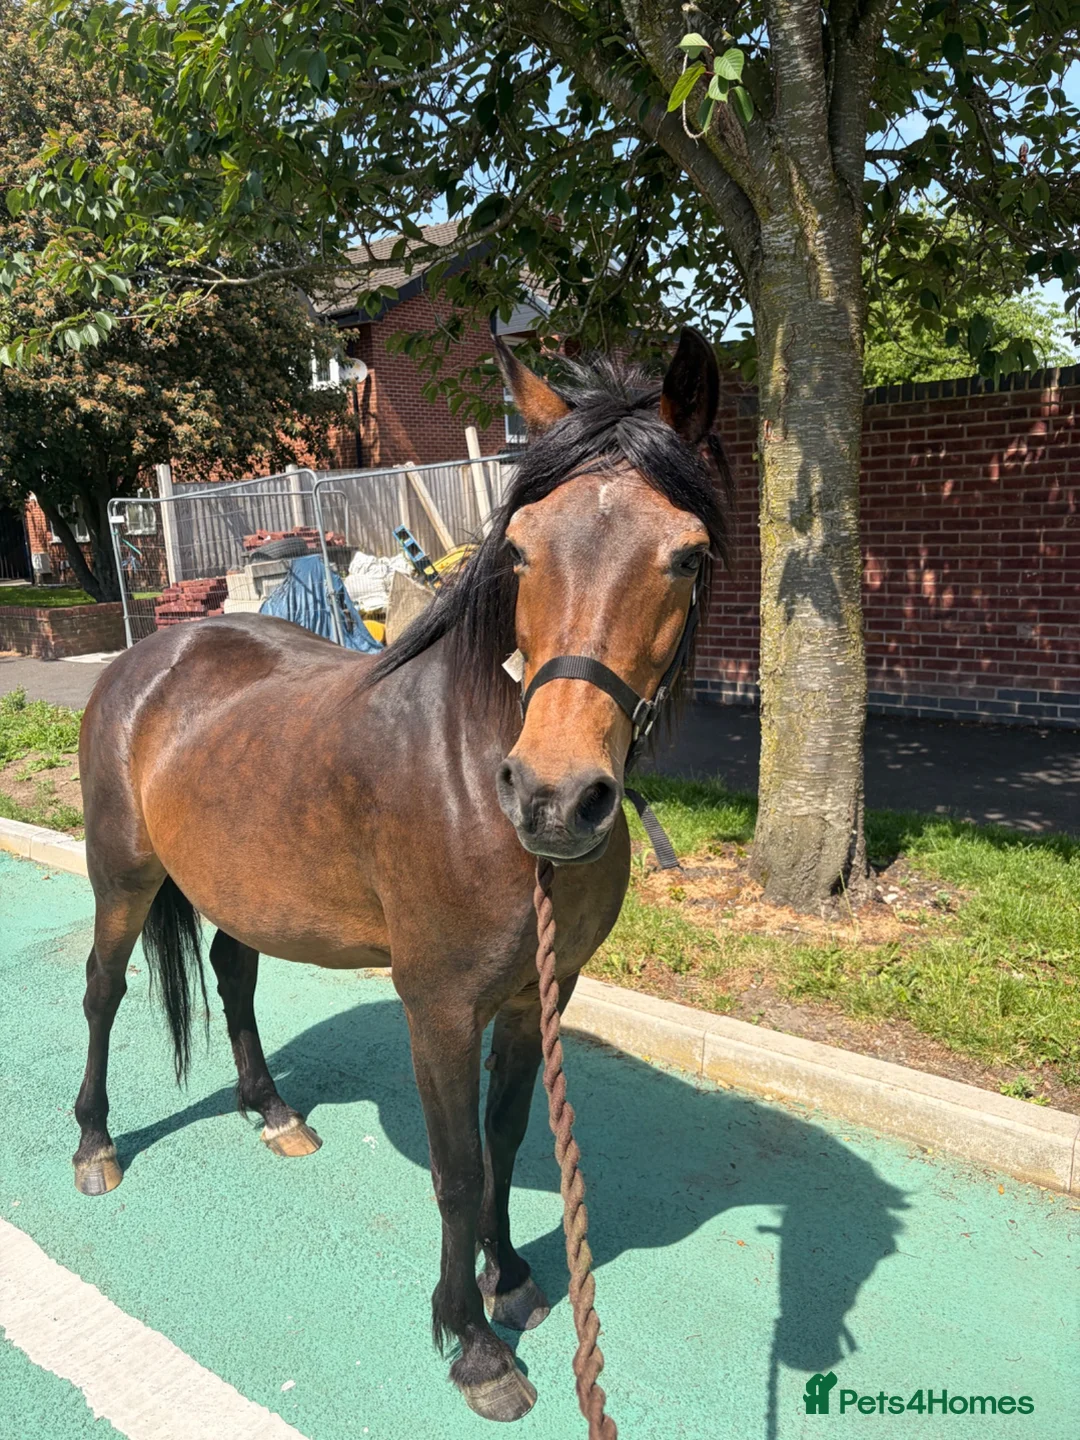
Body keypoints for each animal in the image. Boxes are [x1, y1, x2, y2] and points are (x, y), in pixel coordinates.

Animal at [73, 329, 730, 1423]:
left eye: (686, 555)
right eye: (521, 548)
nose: (556, 798)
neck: (472, 766)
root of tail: (152, 654)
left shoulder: (533, 999)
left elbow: (509, 1138)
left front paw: (513, 1280)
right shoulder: (439, 1008)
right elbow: (458, 1171)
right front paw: (472, 1343)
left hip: (241, 885)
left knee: (233, 974)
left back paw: (273, 1112)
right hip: (122, 880)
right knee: (102, 992)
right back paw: (94, 1146)